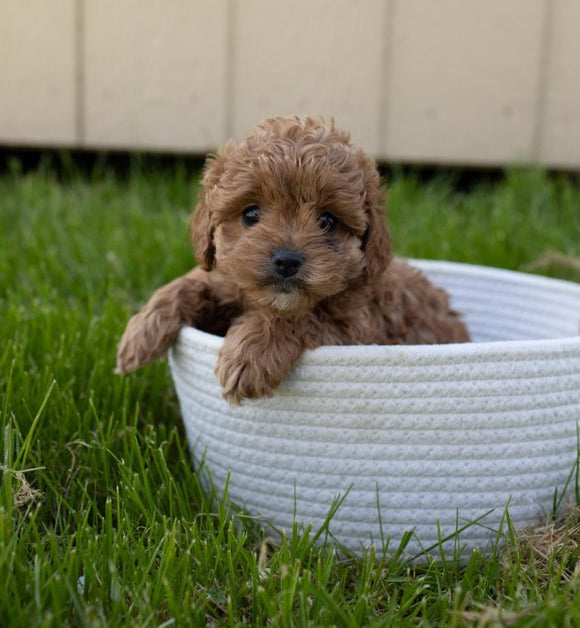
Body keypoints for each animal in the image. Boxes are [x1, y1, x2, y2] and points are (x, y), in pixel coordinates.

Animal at [115, 117, 468, 402]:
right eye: (251, 214)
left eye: (327, 221)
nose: (286, 260)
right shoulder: (228, 281)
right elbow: (192, 283)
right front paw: (139, 333)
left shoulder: (356, 328)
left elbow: (301, 317)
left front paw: (249, 356)